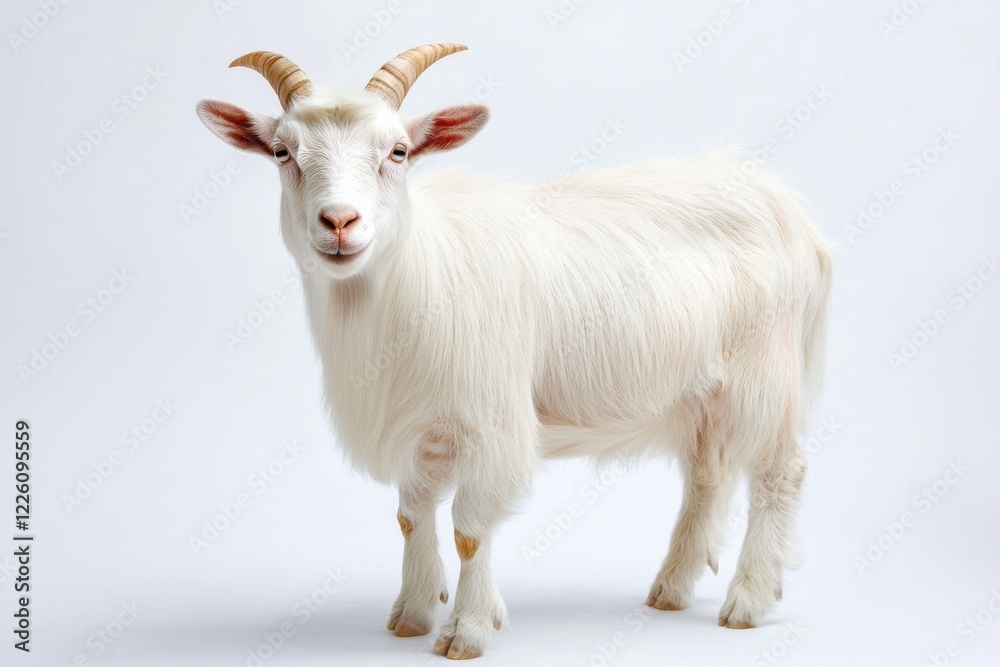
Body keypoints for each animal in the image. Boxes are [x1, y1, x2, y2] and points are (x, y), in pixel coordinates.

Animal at [196, 44, 832, 660]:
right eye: (283, 152)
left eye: (398, 152)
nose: (339, 222)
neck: (414, 272)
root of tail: (792, 211)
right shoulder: (420, 424)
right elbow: (411, 515)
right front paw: (411, 615)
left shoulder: (488, 419)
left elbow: (469, 529)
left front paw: (466, 632)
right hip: (701, 390)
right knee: (706, 475)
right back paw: (670, 590)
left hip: (765, 373)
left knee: (781, 471)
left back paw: (747, 601)